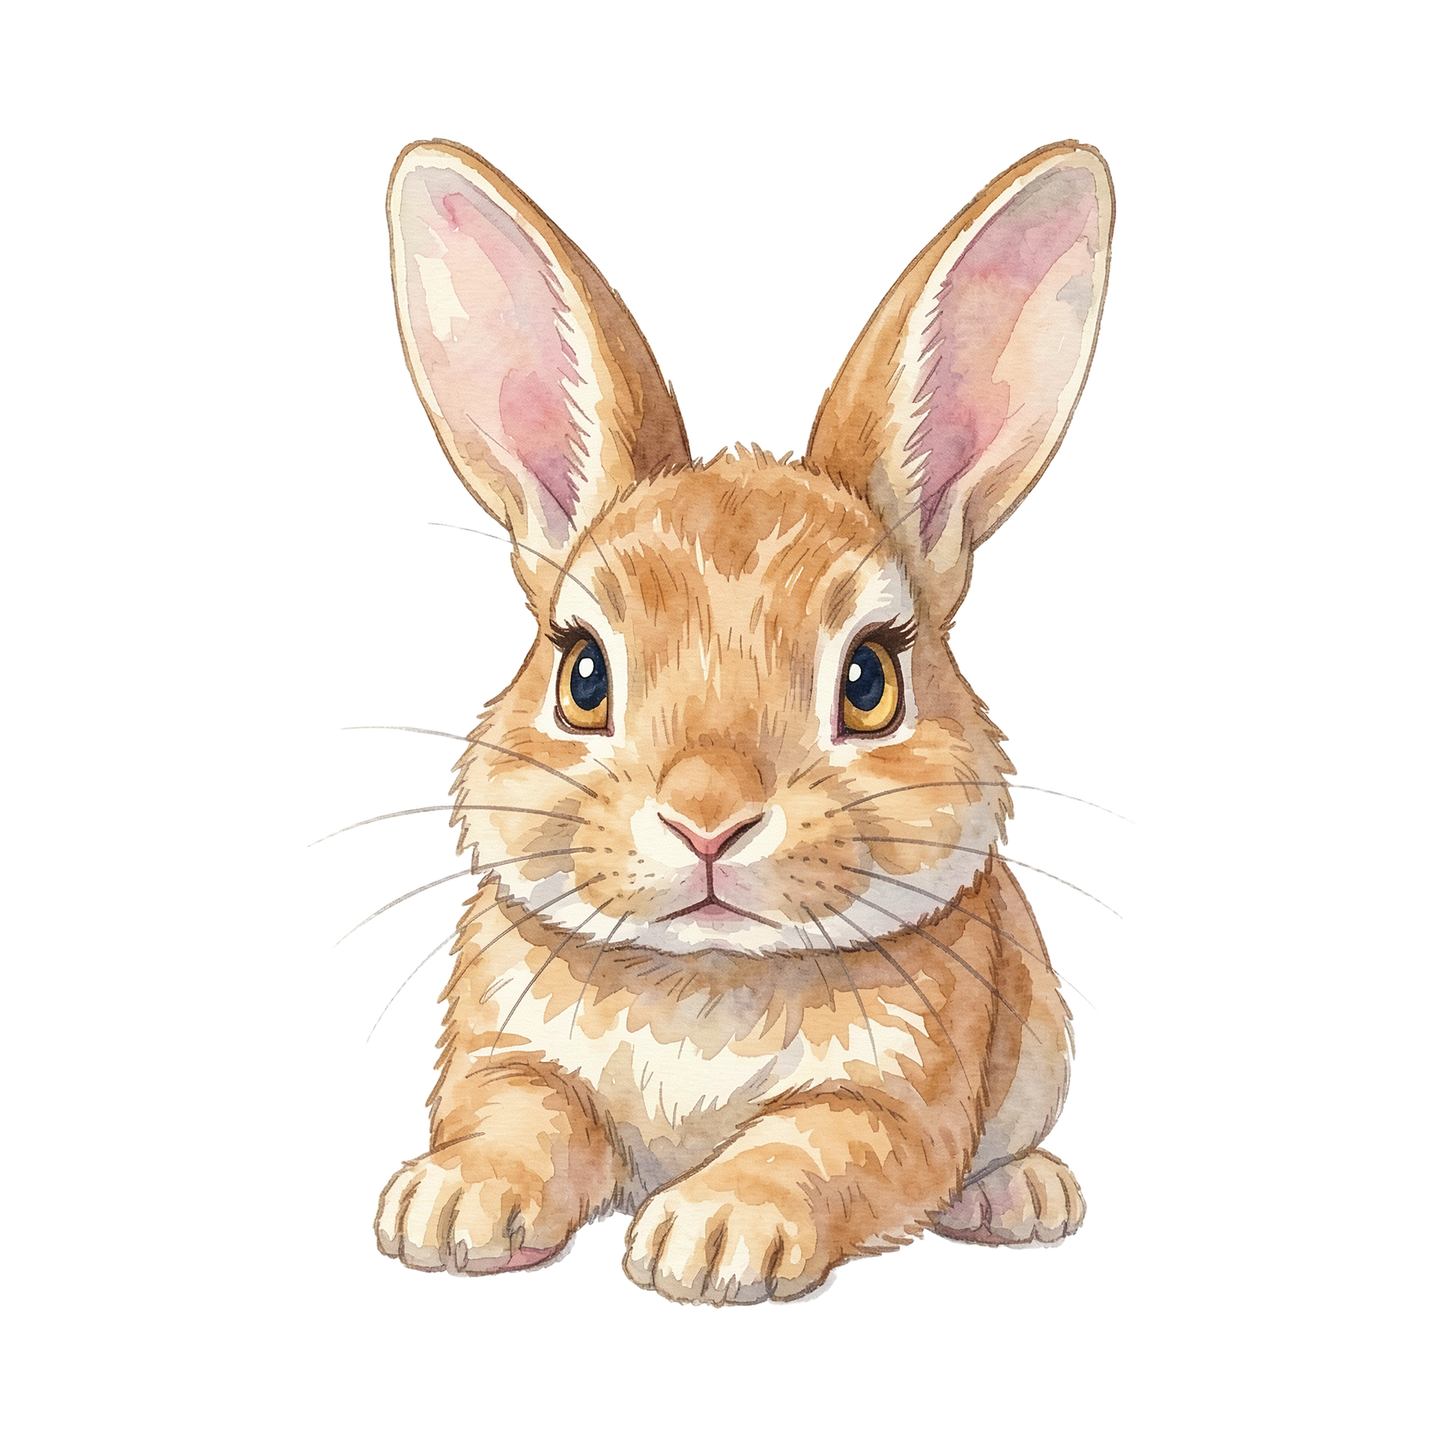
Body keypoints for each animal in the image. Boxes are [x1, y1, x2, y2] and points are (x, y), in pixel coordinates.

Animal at [373, 136, 1113, 1304]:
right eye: (582, 674)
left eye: (869, 681)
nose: (707, 819)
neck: (706, 976)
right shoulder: (502, 1052)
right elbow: (517, 1117)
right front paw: (449, 1206)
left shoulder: (894, 1098)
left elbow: (814, 1143)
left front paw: (715, 1231)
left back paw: (1021, 1196)